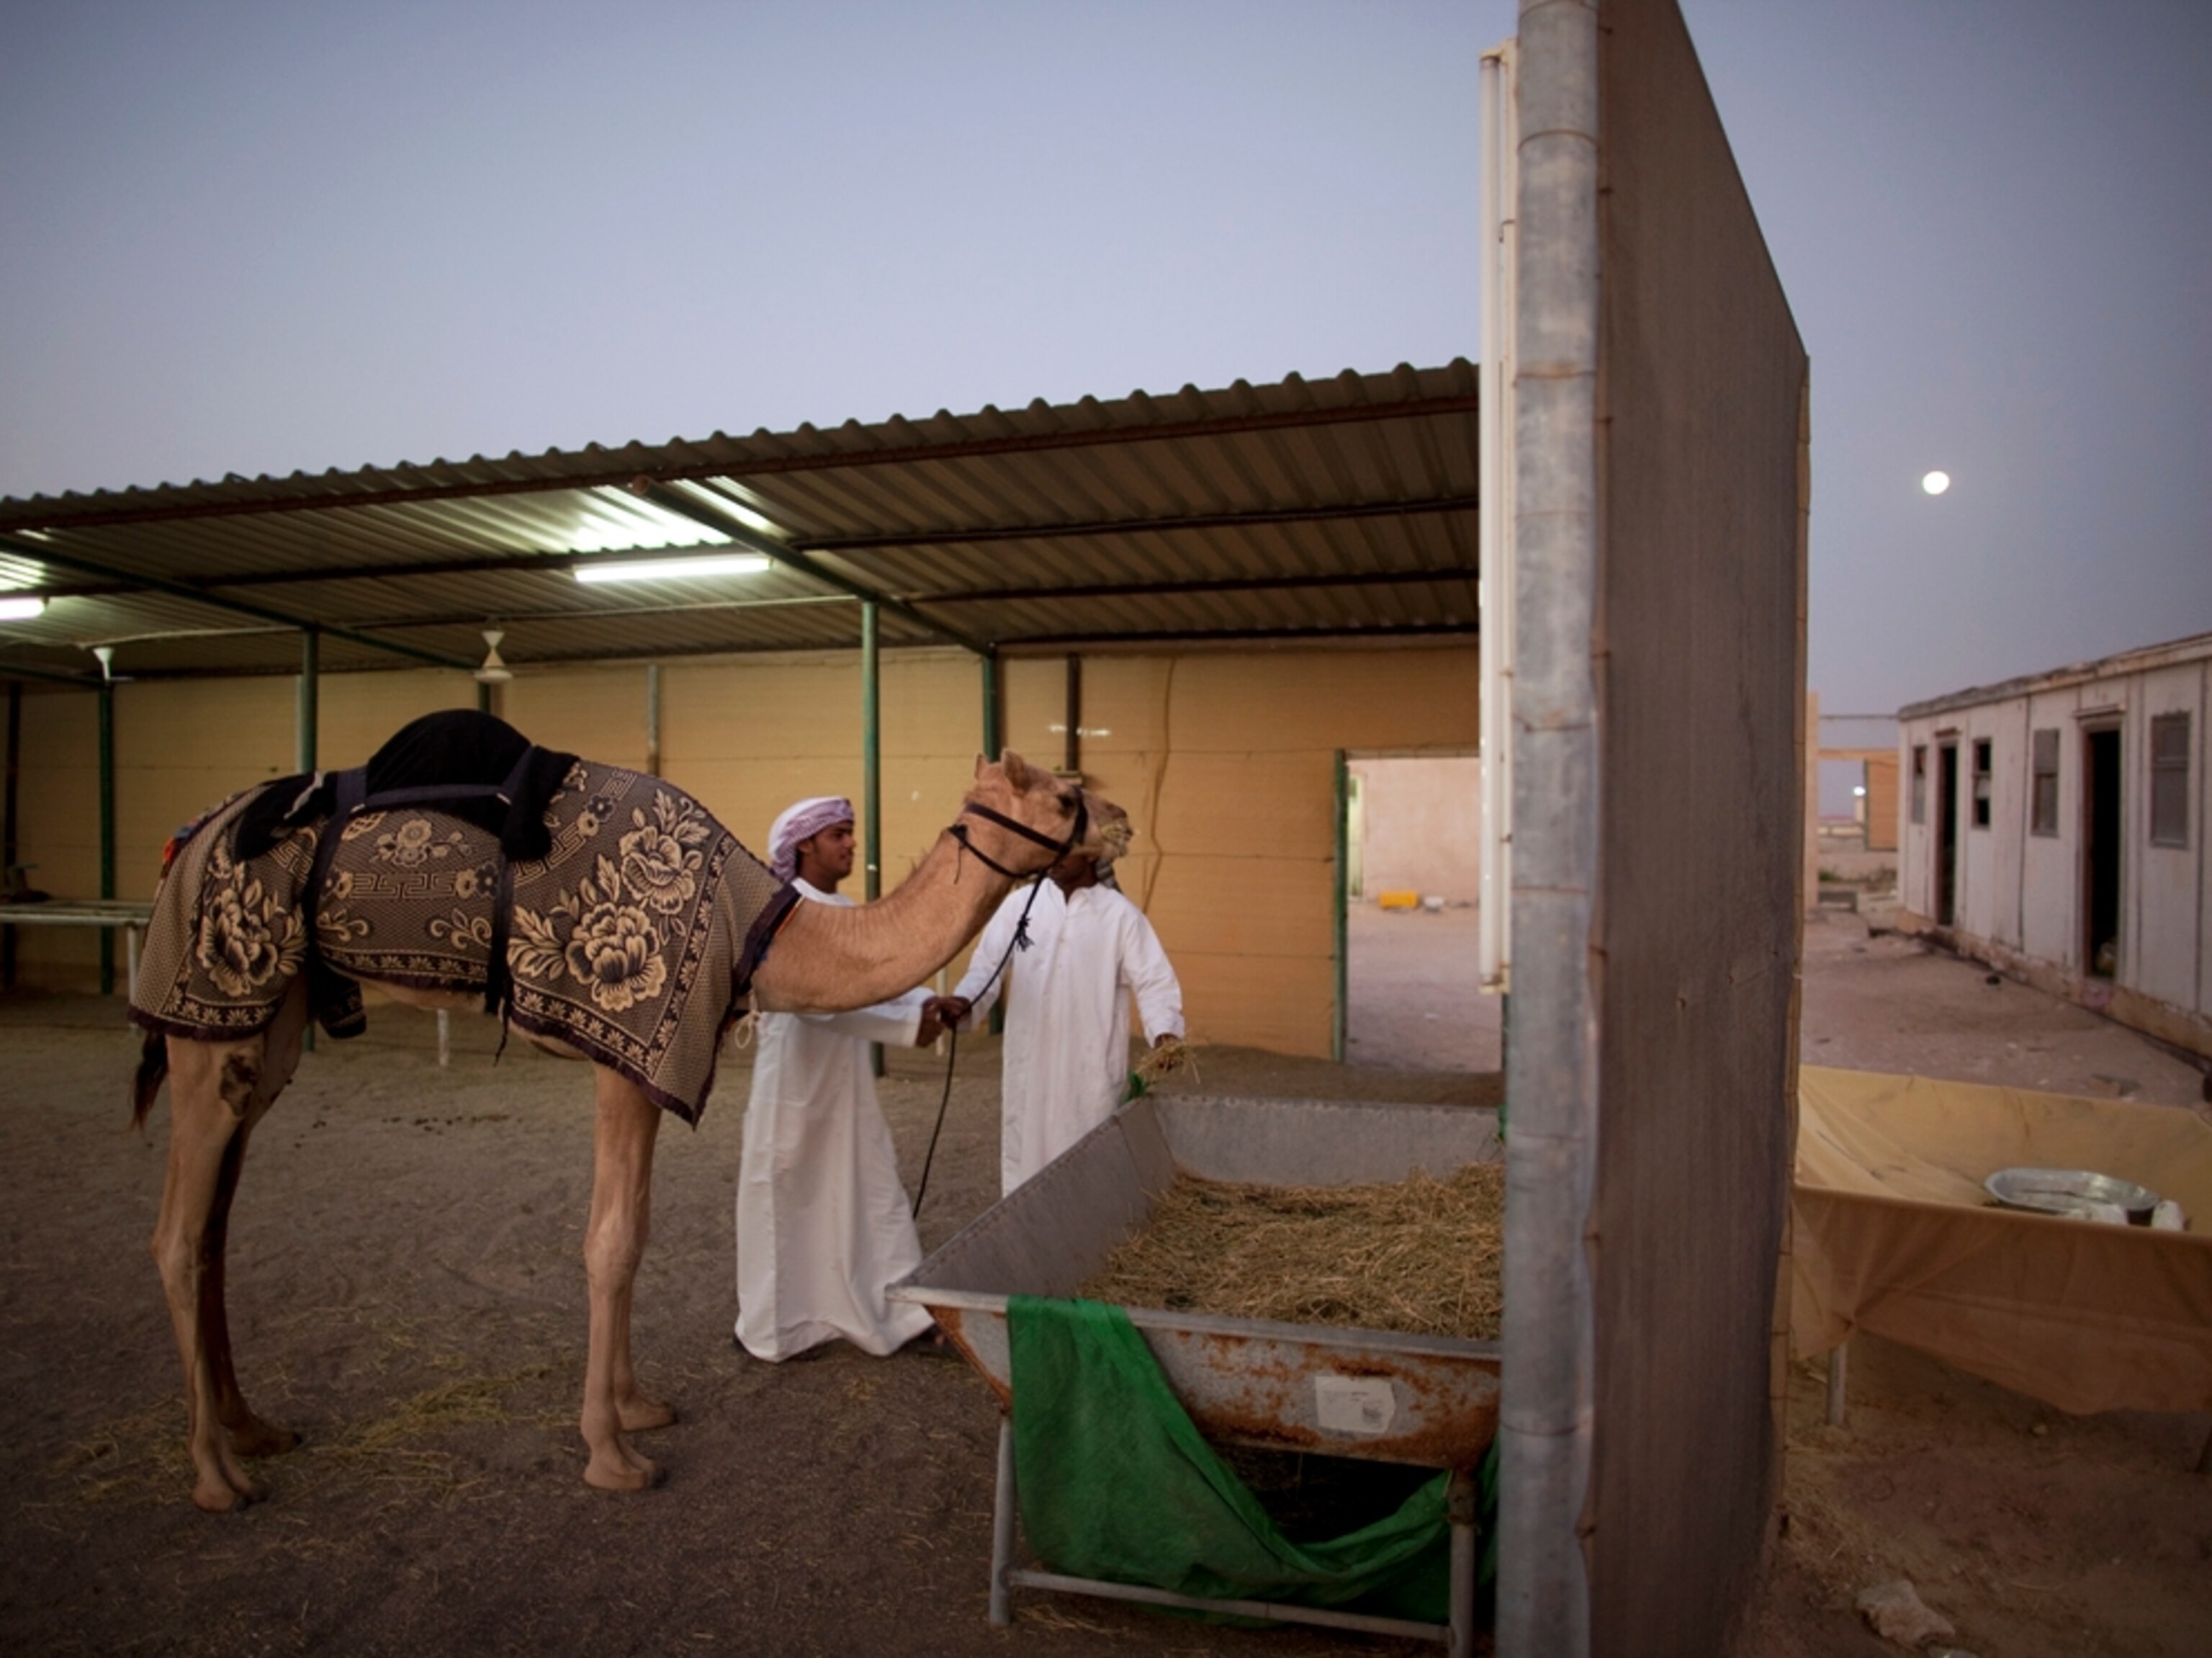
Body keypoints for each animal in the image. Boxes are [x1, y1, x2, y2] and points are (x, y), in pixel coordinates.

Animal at [129, 729, 1084, 1511]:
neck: (750, 923)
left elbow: (638, 1231)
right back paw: (217, 1473)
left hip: (268, 1027)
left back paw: (253, 1426)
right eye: (1063, 797)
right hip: (213, 1000)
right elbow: (613, 1240)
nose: (1108, 830)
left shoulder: (648, 1064)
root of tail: (181, 843)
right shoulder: (628, 1041)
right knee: (175, 1235)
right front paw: (612, 1453)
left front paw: (637, 1406)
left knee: (214, 1227)